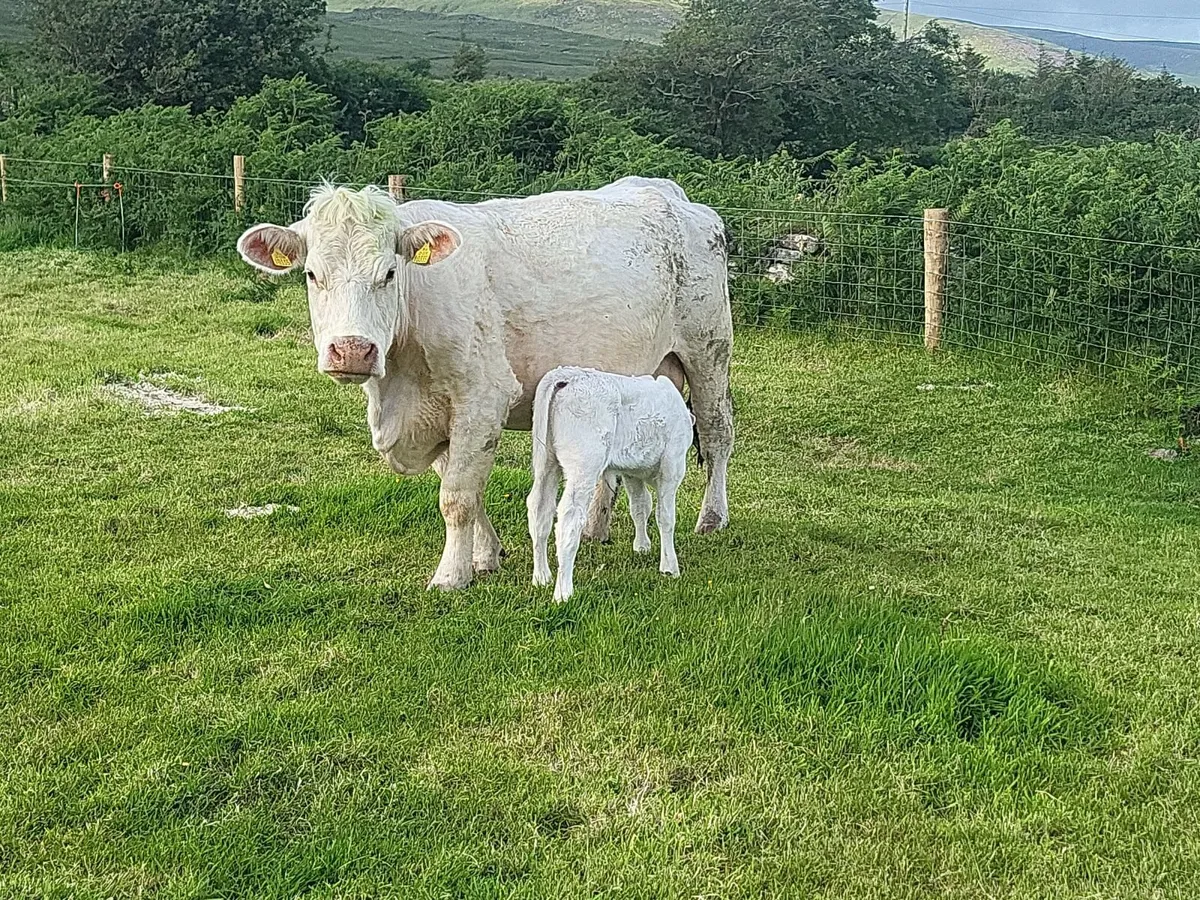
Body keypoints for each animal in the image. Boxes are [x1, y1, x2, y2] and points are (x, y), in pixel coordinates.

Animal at [527, 367, 695, 602]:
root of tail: (566, 376)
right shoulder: (673, 465)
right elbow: (666, 517)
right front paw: (669, 567)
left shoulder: (632, 472)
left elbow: (640, 506)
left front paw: (642, 547)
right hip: (584, 465)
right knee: (569, 518)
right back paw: (563, 593)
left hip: (546, 462)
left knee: (539, 510)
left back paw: (542, 577)